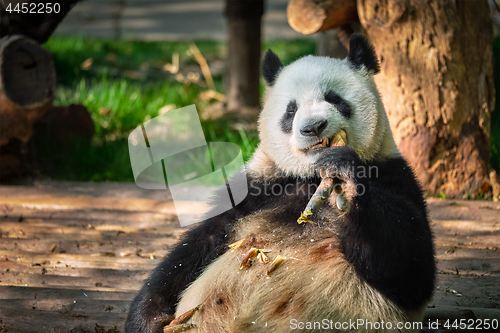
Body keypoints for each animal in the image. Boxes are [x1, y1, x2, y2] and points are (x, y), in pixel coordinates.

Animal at [127, 34, 436, 332]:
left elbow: (410, 270)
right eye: (291, 110)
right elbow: (196, 246)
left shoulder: (394, 176)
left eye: (335, 98)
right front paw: (147, 318)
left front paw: (346, 180)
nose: (313, 127)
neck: (311, 176)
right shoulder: (257, 187)